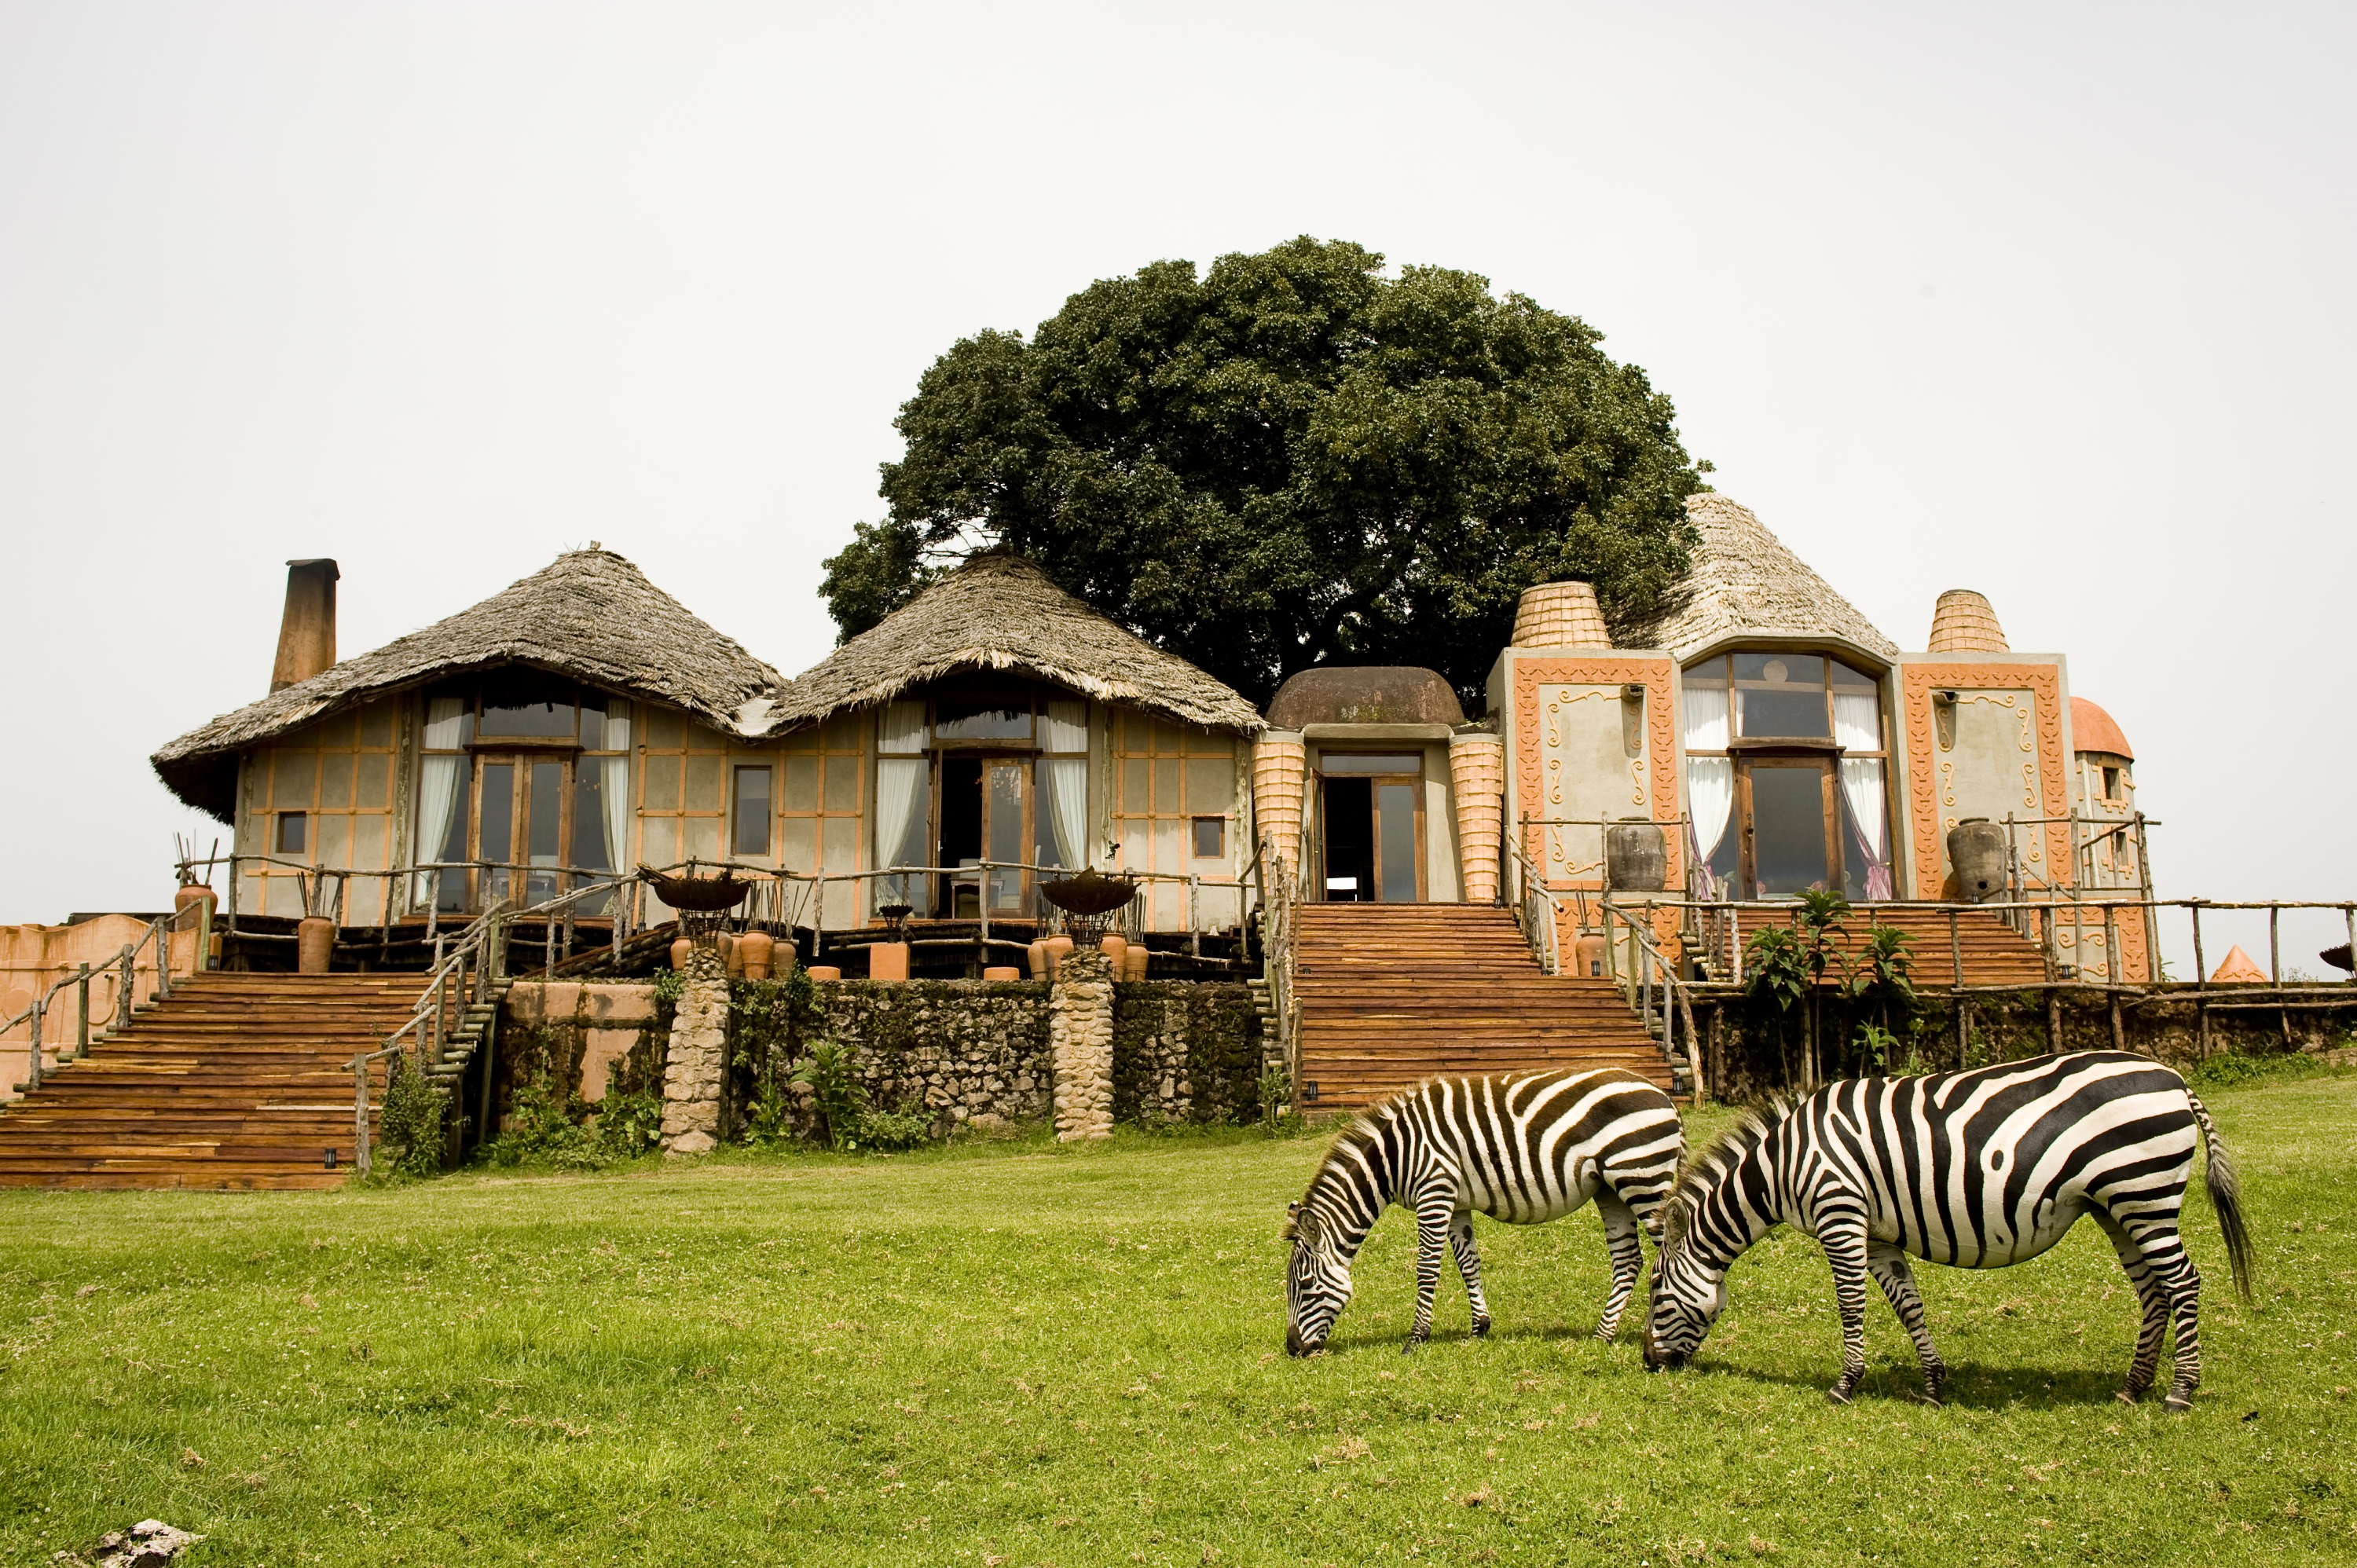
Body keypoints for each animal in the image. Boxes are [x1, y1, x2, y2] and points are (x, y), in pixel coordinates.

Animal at [1282, 1065, 1688, 1357]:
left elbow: (1427, 1269)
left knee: (1671, 1254)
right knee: (1628, 1260)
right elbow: (1468, 1263)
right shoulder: (1456, 1203)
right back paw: (1603, 1334)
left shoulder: (1435, 1191)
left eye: (1305, 1285)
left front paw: (1416, 1338)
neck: (1394, 1157)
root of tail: (1664, 1095)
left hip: (1643, 1179)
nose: (1293, 1349)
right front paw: (1479, 1328)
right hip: (1611, 1190)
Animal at [1640, 1051, 2244, 1405]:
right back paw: (2133, 1387)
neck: (1782, 1165)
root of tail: (2174, 1078)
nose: (1648, 1363)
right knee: (2154, 1291)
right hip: (2118, 1205)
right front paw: (1933, 1384)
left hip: (2144, 1192)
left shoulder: (1841, 1214)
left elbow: (1851, 1305)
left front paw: (1845, 1385)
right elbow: (1908, 1305)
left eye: (1656, 1289)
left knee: (2184, 1282)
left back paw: (2181, 1391)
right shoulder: (1878, 1234)